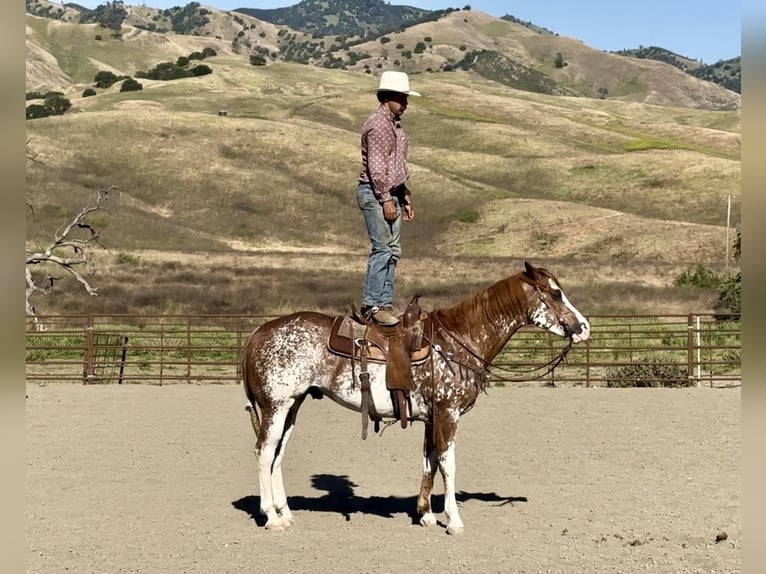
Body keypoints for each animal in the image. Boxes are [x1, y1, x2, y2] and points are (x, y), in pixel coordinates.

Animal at [243, 264, 592, 536]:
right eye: (555, 293)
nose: (584, 327)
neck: (459, 341)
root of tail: (258, 333)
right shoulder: (448, 413)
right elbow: (448, 464)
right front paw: (454, 521)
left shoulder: (432, 417)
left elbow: (430, 461)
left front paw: (425, 514)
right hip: (275, 406)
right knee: (264, 452)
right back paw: (271, 517)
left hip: (293, 405)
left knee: (277, 455)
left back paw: (286, 513)